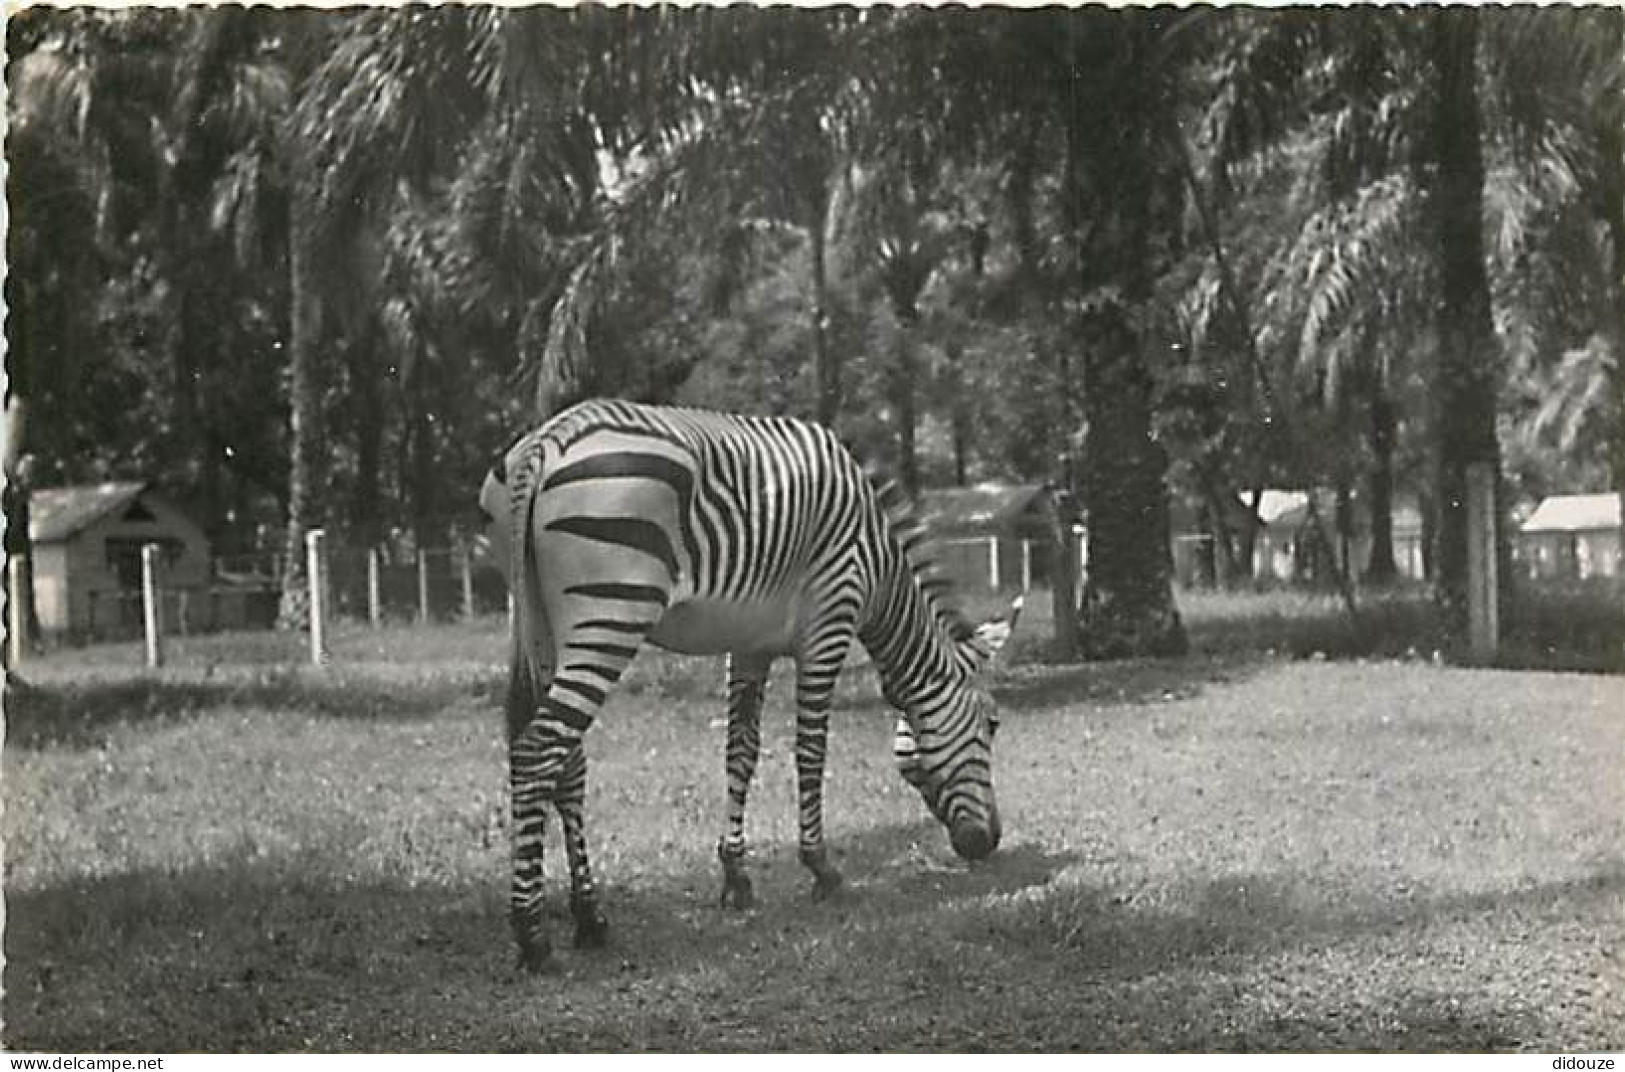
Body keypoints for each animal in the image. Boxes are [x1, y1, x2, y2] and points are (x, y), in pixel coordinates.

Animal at [481, 399, 1014, 974]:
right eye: (992, 724)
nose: (990, 842)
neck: (879, 566)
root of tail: (548, 439)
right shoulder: (829, 625)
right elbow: (810, 752)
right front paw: (821, 868)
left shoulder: (750, 645)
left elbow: (741, 752)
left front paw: (736, 877)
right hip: (610, 614)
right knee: (539, 748)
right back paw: (533, 935)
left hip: (541, 621)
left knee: (565, 761)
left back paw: (590, 916)